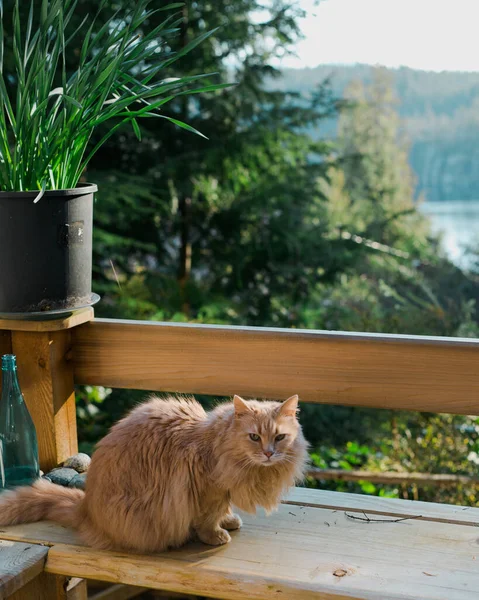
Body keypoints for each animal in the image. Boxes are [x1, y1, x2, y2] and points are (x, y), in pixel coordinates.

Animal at [0, 394, 308, 552]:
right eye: (254, 437)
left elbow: (224, 510)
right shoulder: (208, 490)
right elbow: (208, 520)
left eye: (279, 437)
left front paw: (229, 520)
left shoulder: (224, 491)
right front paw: (216, 535)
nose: (268, 453)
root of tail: (86, 507)